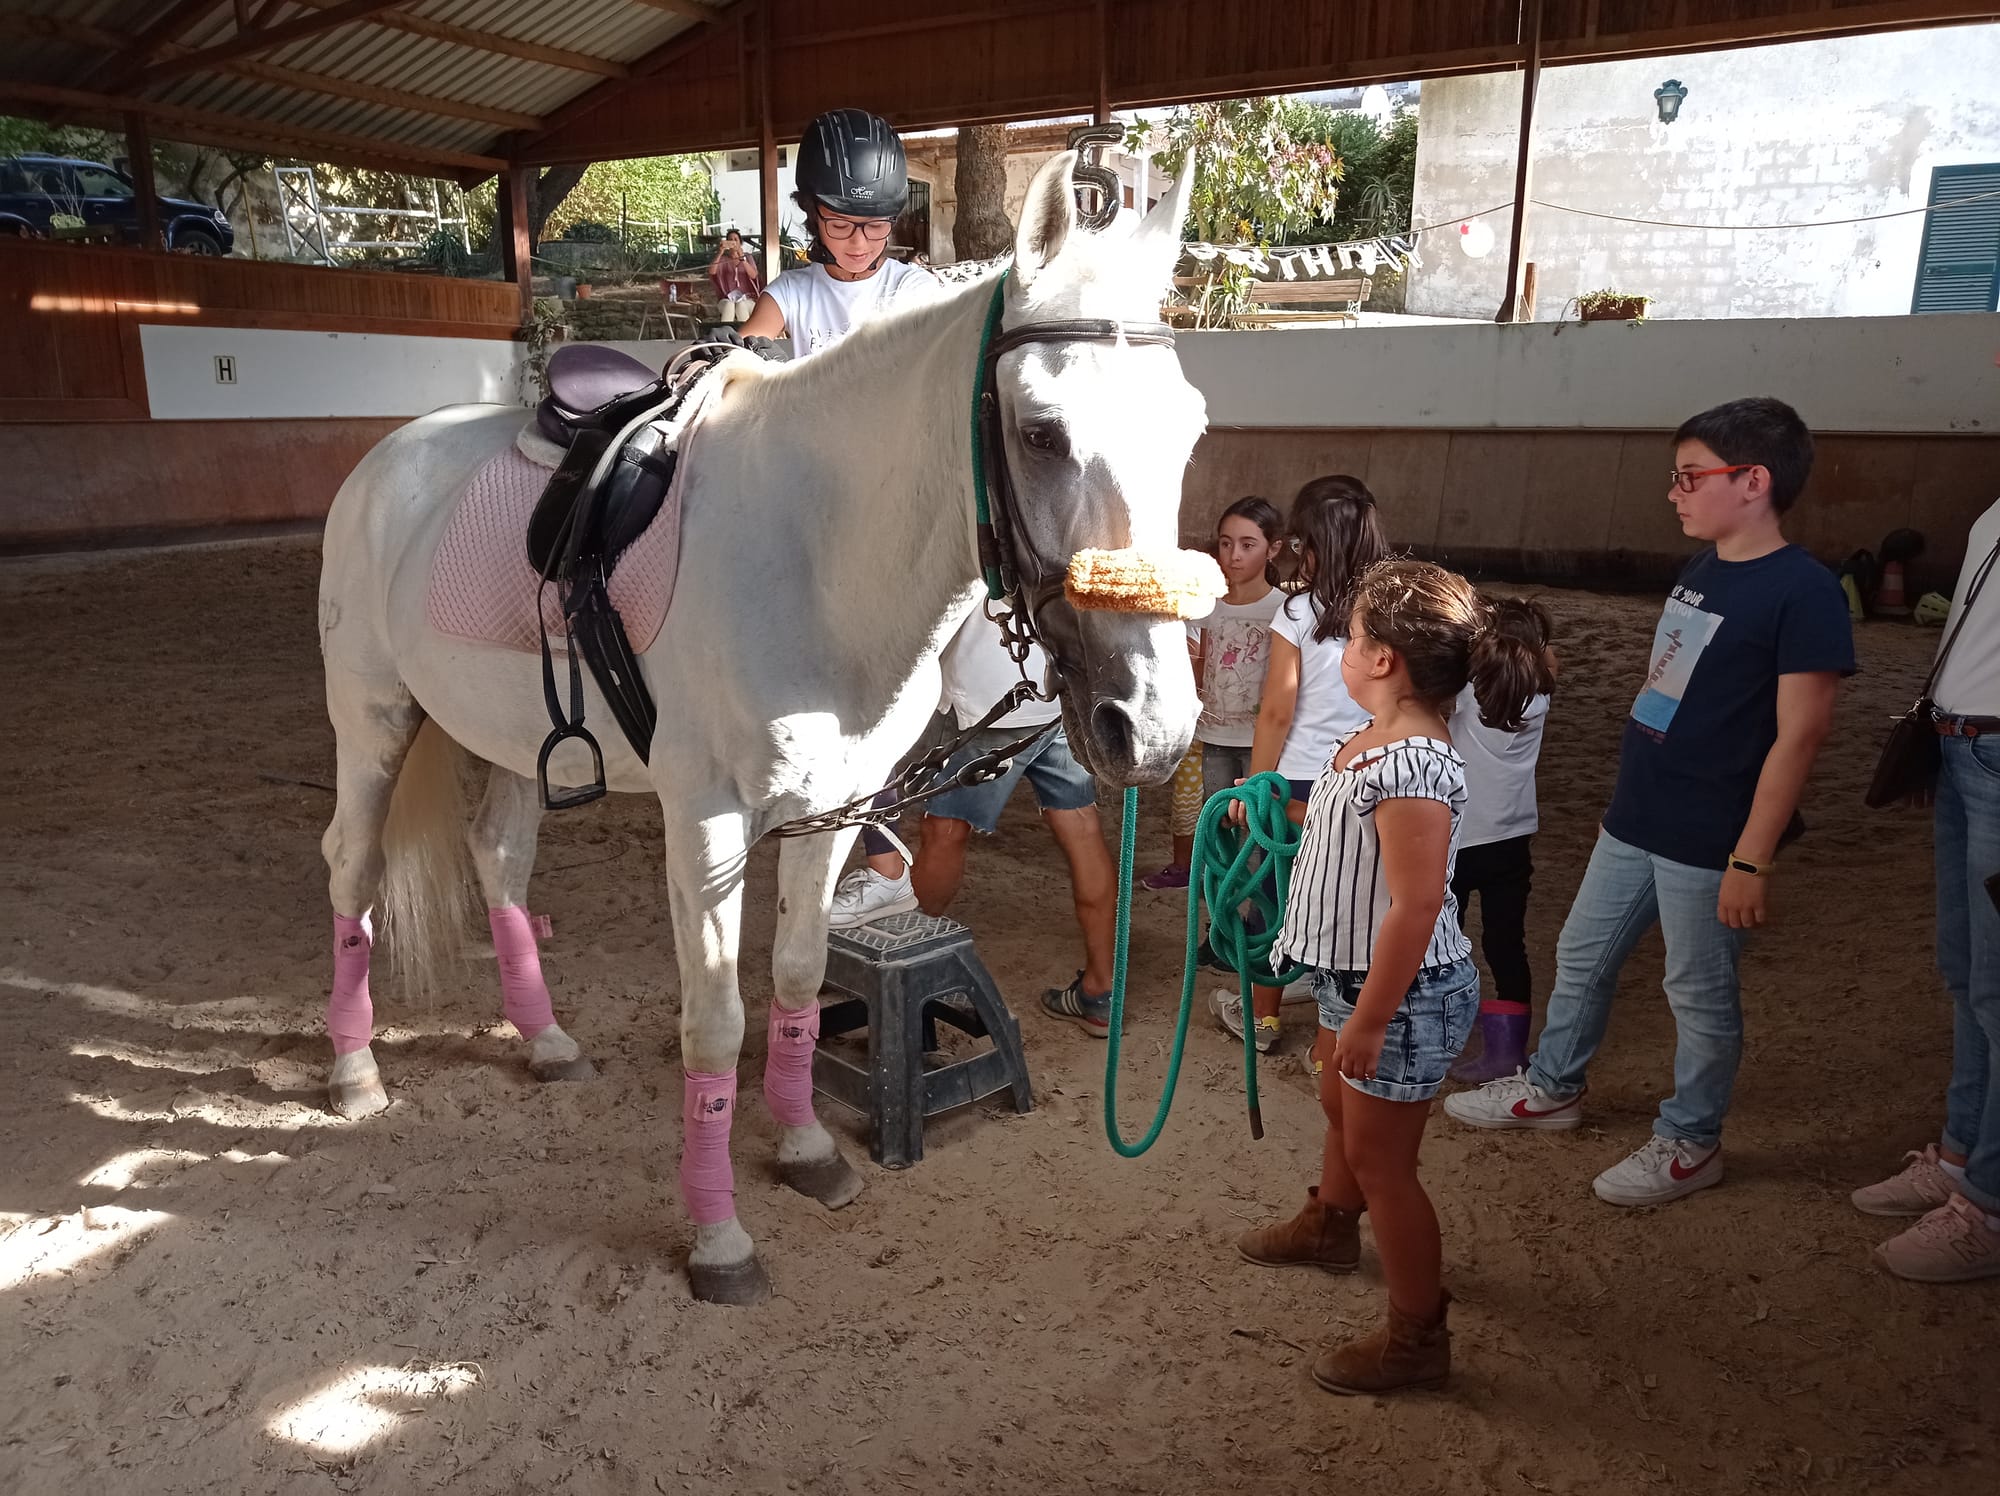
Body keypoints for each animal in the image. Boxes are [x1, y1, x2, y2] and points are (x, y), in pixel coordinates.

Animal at [314, 153, 1207, 1303]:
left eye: (1189, 429)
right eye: (1042, 432)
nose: (1150, 723)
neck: (813, 551)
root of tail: (389, 457)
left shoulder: (834, 809)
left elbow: (792, 978)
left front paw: (805, 1148)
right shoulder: (707, 828)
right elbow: (715, 1021)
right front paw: (719, 1239)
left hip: (509, 739)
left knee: (498, 857)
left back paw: (544, 1040)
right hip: (373, 719)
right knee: (353, 865)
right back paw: (353, 1067)